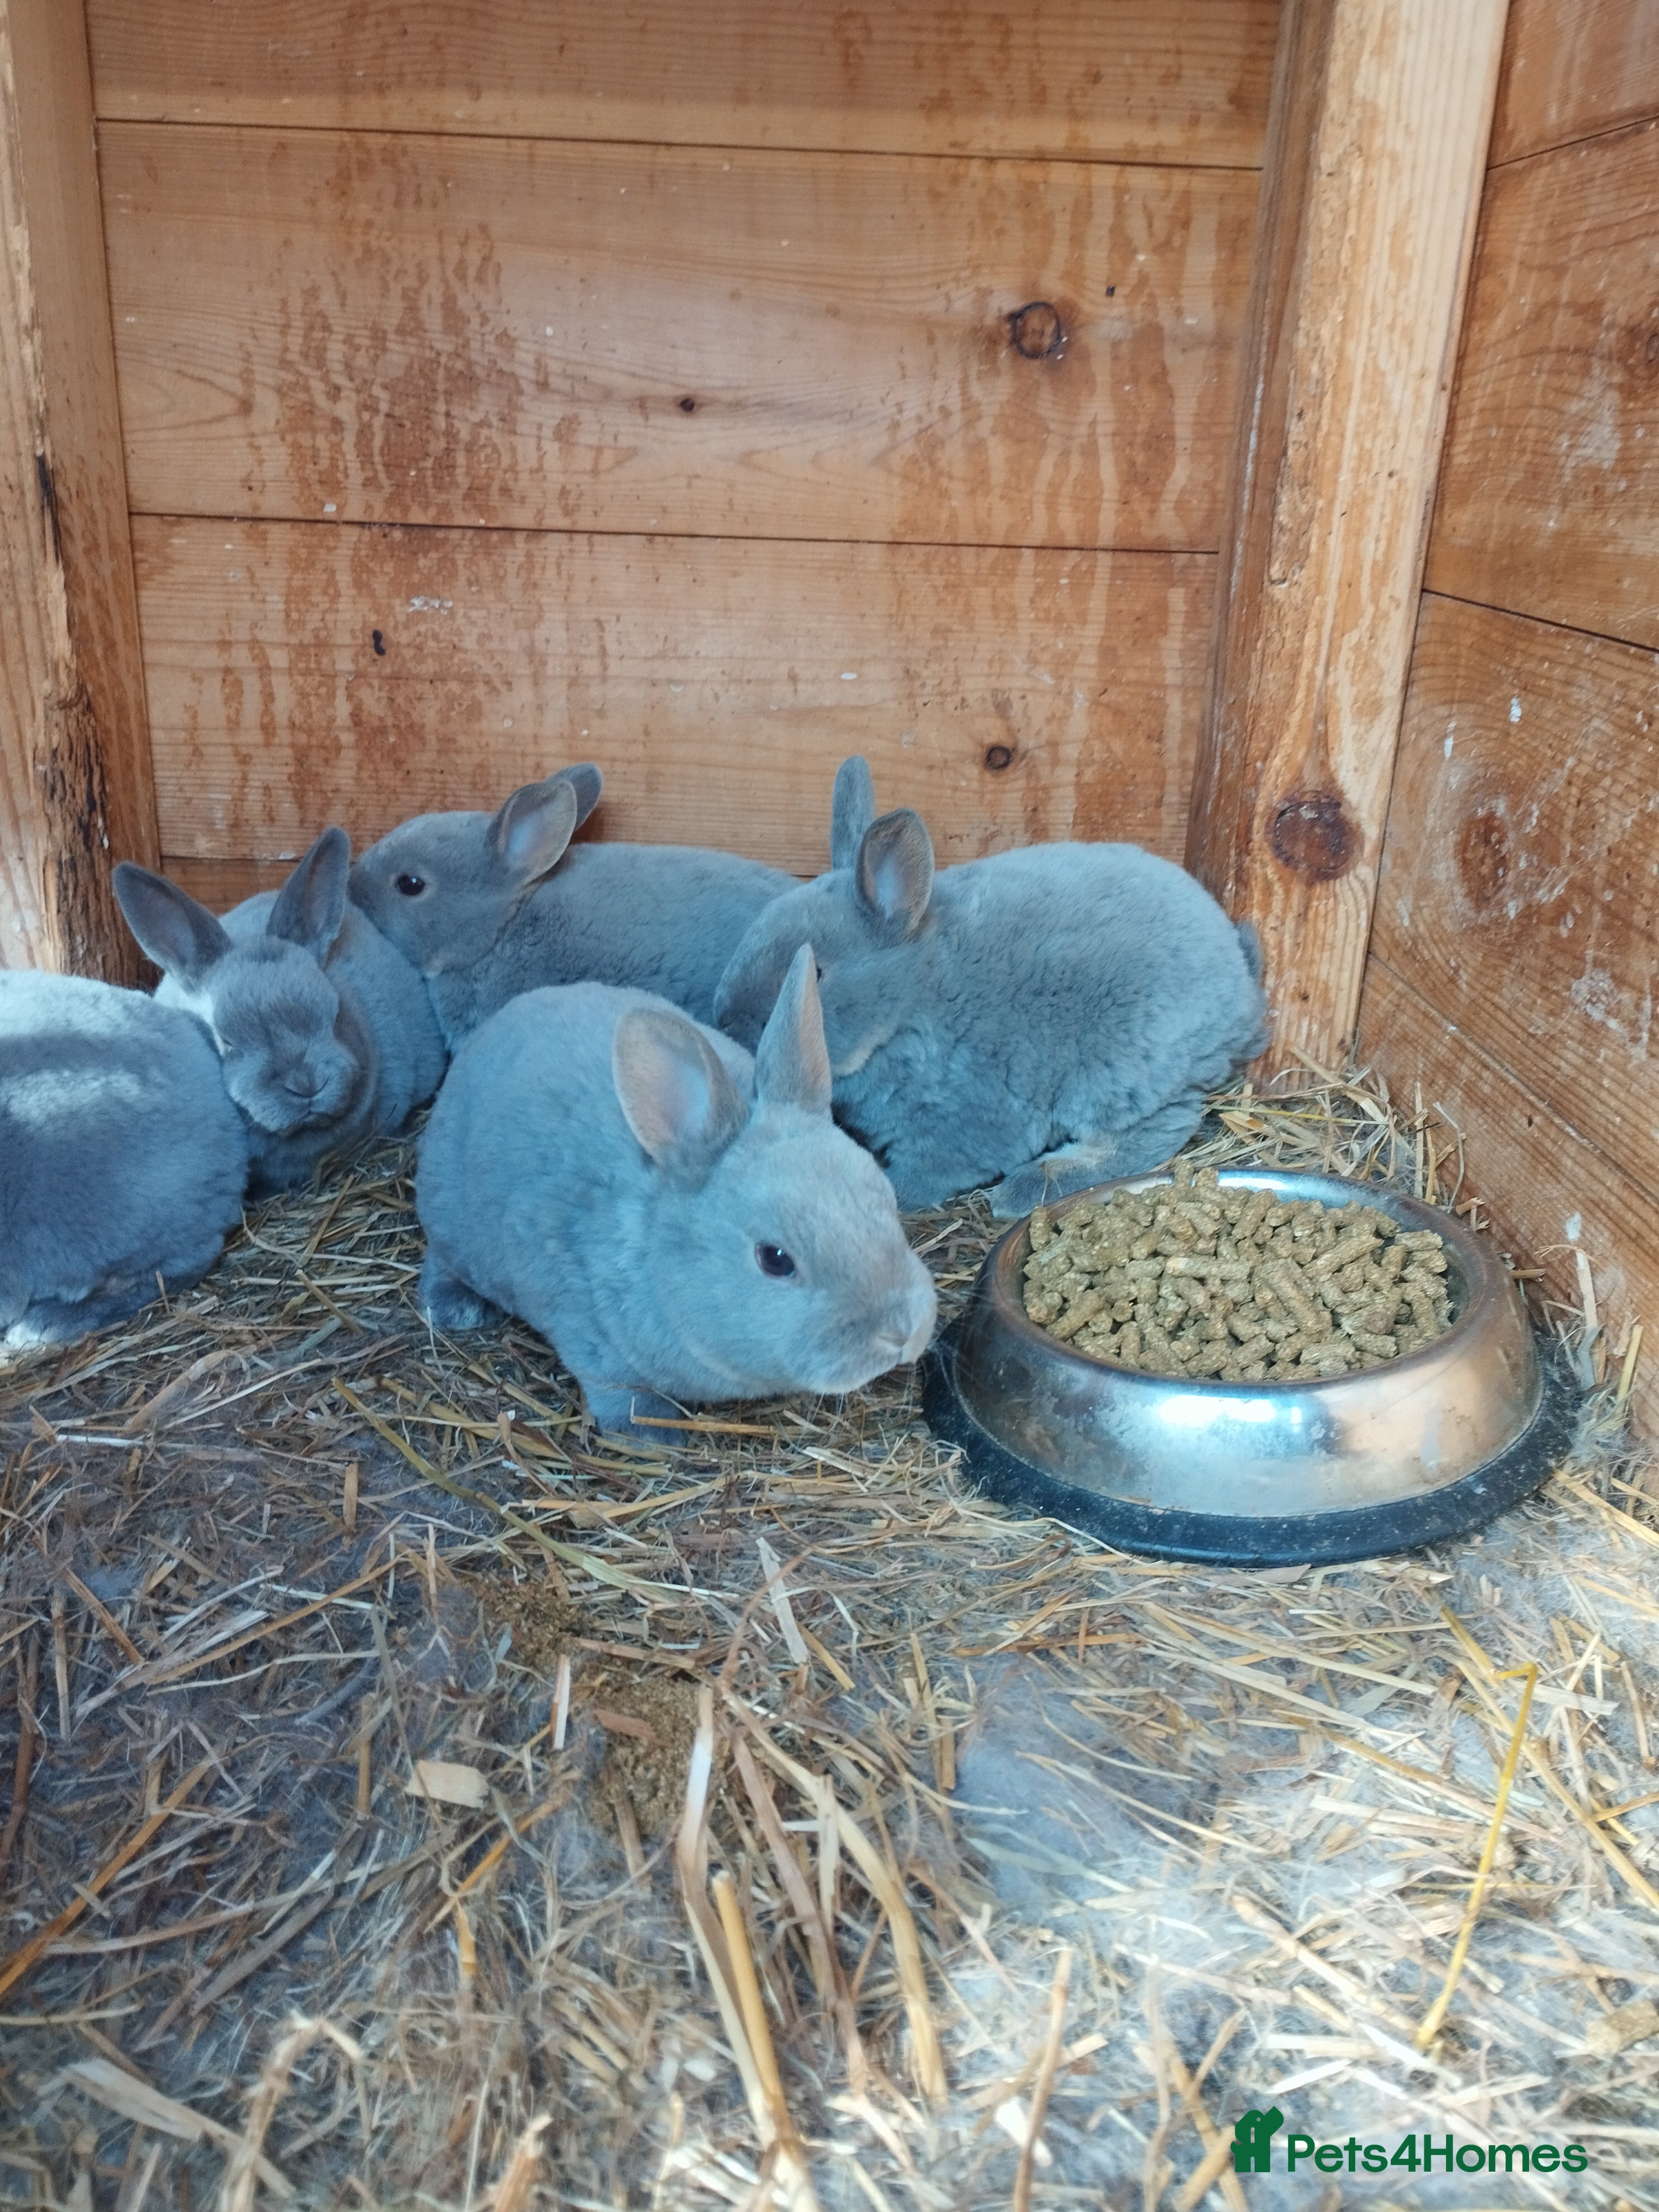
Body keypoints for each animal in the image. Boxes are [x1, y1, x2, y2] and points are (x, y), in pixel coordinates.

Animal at [414, 945, 938, 1436]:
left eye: (887, 1203)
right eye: (775, 1259)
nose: (900, 1333)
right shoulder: (593, 1342)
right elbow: (621, 1396)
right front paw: (651, 1438)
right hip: (452, 1220)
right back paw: (457, 1308)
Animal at [713, 756, 1268, 1215]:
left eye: (818, 973)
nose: (725, 1021)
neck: (912, 1002)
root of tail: (1240, 991)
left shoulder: (965, 1117)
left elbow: (928, 1172)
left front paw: (893, 1192)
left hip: (1118, 1069)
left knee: (1156, 1129)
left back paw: (1028, 1187)